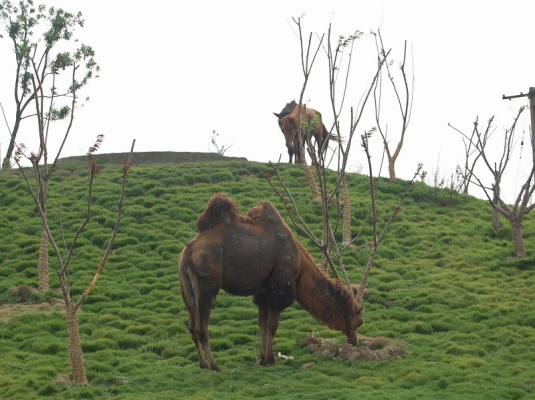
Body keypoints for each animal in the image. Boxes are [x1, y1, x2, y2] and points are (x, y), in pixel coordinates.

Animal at [180, 194, 364, 372]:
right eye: (359, 321)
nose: (355, 342)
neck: (300, 265)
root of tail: (189, 250)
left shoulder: (263, 291)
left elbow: (262, 322)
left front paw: (263, 358)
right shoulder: (279, 289)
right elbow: (272, 324)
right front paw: (271, 359)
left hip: (186, 287)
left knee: (191, 326)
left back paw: (203, 364)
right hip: (207, 282)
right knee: (201, 327)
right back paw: (214, 366)